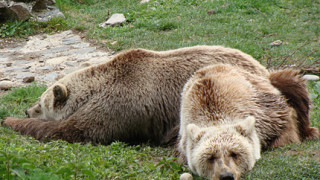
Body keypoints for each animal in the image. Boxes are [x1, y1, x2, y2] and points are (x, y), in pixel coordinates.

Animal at [1, 45, 270, 146]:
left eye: (40, 104)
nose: (26, 109)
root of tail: (263, 70)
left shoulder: (123, 103)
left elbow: (75, 130)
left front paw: (9, 120)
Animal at [178, 64, 320, 179]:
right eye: (210, 157)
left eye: (234, 153)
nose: (226, 176)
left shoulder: (266, 112)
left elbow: (285, 126)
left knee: (294, 85)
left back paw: (310, 132)